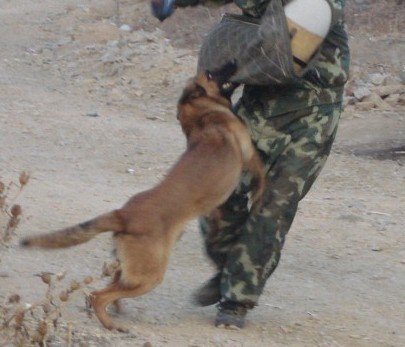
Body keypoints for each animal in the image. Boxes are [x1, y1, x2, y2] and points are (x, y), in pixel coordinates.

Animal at [21, 64, 266, 334]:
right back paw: (112, 324)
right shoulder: (250, 156)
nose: (232, 64)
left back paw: (116, 311)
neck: (202, 117)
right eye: (211, 74)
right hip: (149, 276)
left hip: (129, 268)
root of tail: (123, 215)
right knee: (98, 295)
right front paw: (259, 198)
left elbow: (219, 214)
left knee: (112, 285)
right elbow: (262, 179)